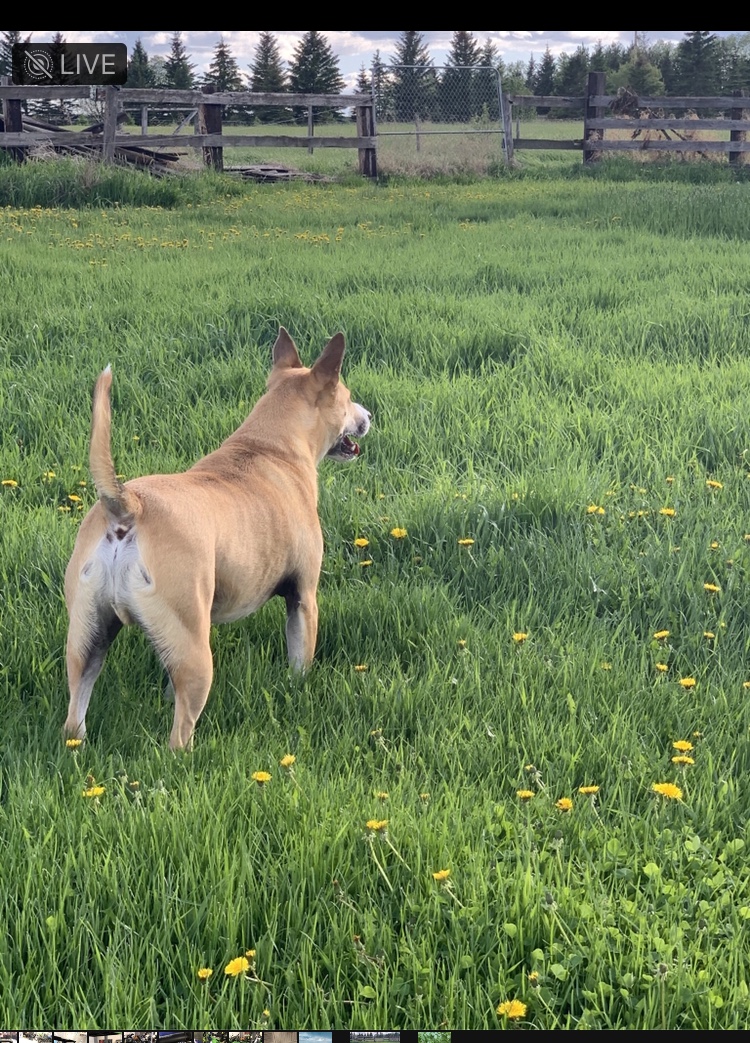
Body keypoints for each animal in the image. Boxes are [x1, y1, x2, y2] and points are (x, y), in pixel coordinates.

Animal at [65, 329, 371, 746]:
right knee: (180, 732)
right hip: (195, 649)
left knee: (75, 712)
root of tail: (128, 506)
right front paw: (298, 689)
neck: (271, 444)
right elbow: (300, 660)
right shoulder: (303, 598)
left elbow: (169, 683)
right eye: (347, 398)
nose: (369, 416)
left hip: (87, 634)